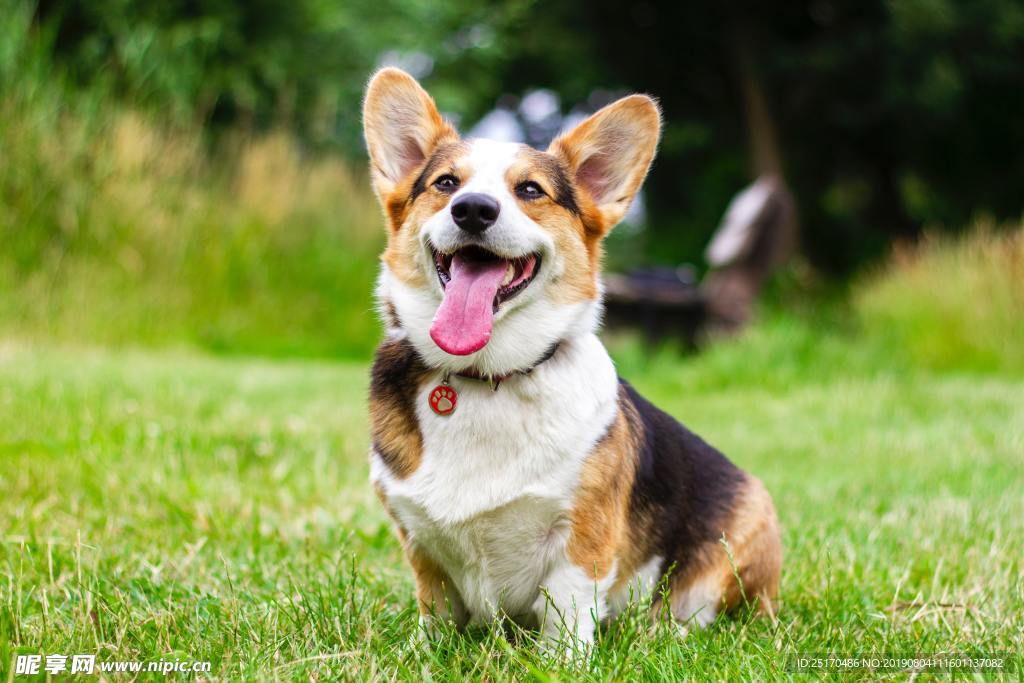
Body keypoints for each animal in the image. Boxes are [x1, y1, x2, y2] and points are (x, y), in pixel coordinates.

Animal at [362, 69, 782, 651]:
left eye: (530, 190)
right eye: (446, 184)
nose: (473, 209)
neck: (488, 375)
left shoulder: (580, 538)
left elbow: (565, 615)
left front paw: (560, 661)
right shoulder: (419, 542)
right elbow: (435, 611)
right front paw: (424, 653)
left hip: (741, 537)